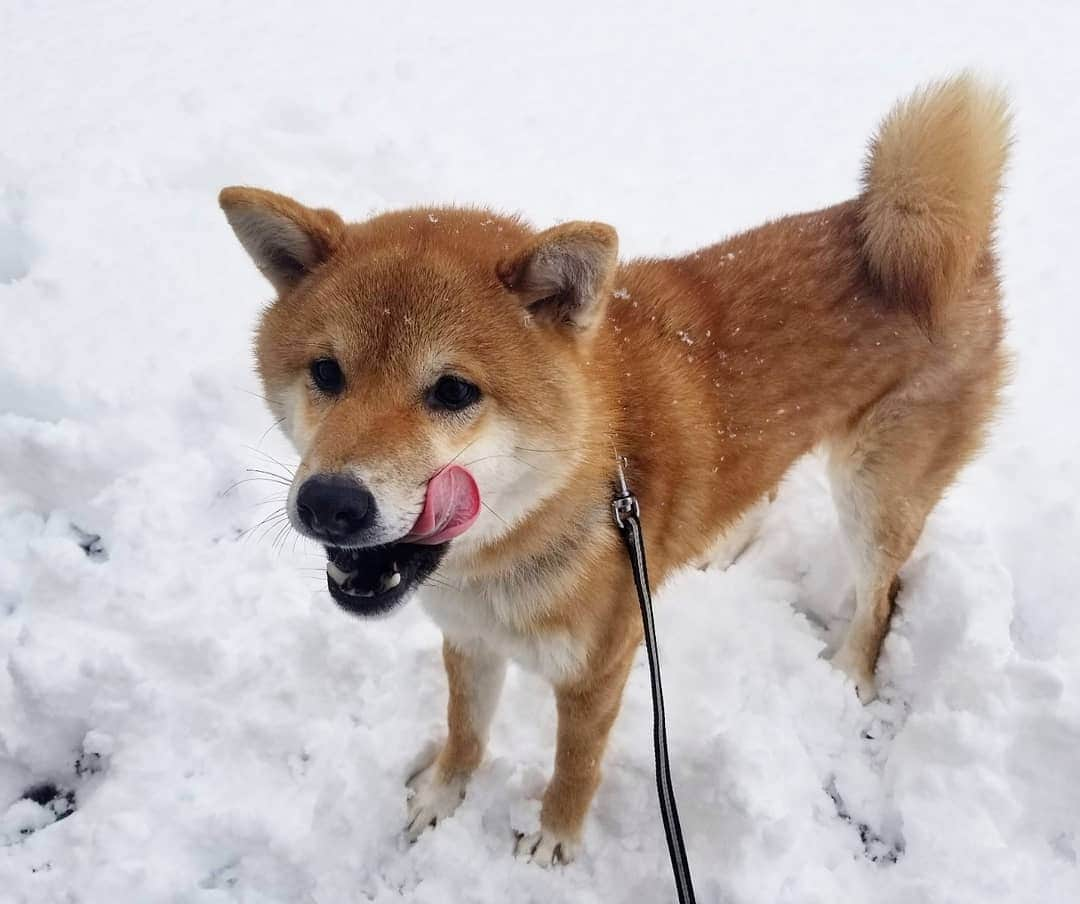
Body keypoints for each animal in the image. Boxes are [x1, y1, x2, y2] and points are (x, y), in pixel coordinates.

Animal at [219, 73, 1010, 864]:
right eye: (326, 373)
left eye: (453, 391)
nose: (330, 503)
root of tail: (938, 236)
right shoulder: (470, 641)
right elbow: (465, 732)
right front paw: (443, 795)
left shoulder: (600, 668)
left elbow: (576, 764)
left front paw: (553, 838)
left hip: (874, 488)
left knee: (880, 596)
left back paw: (848, 673)